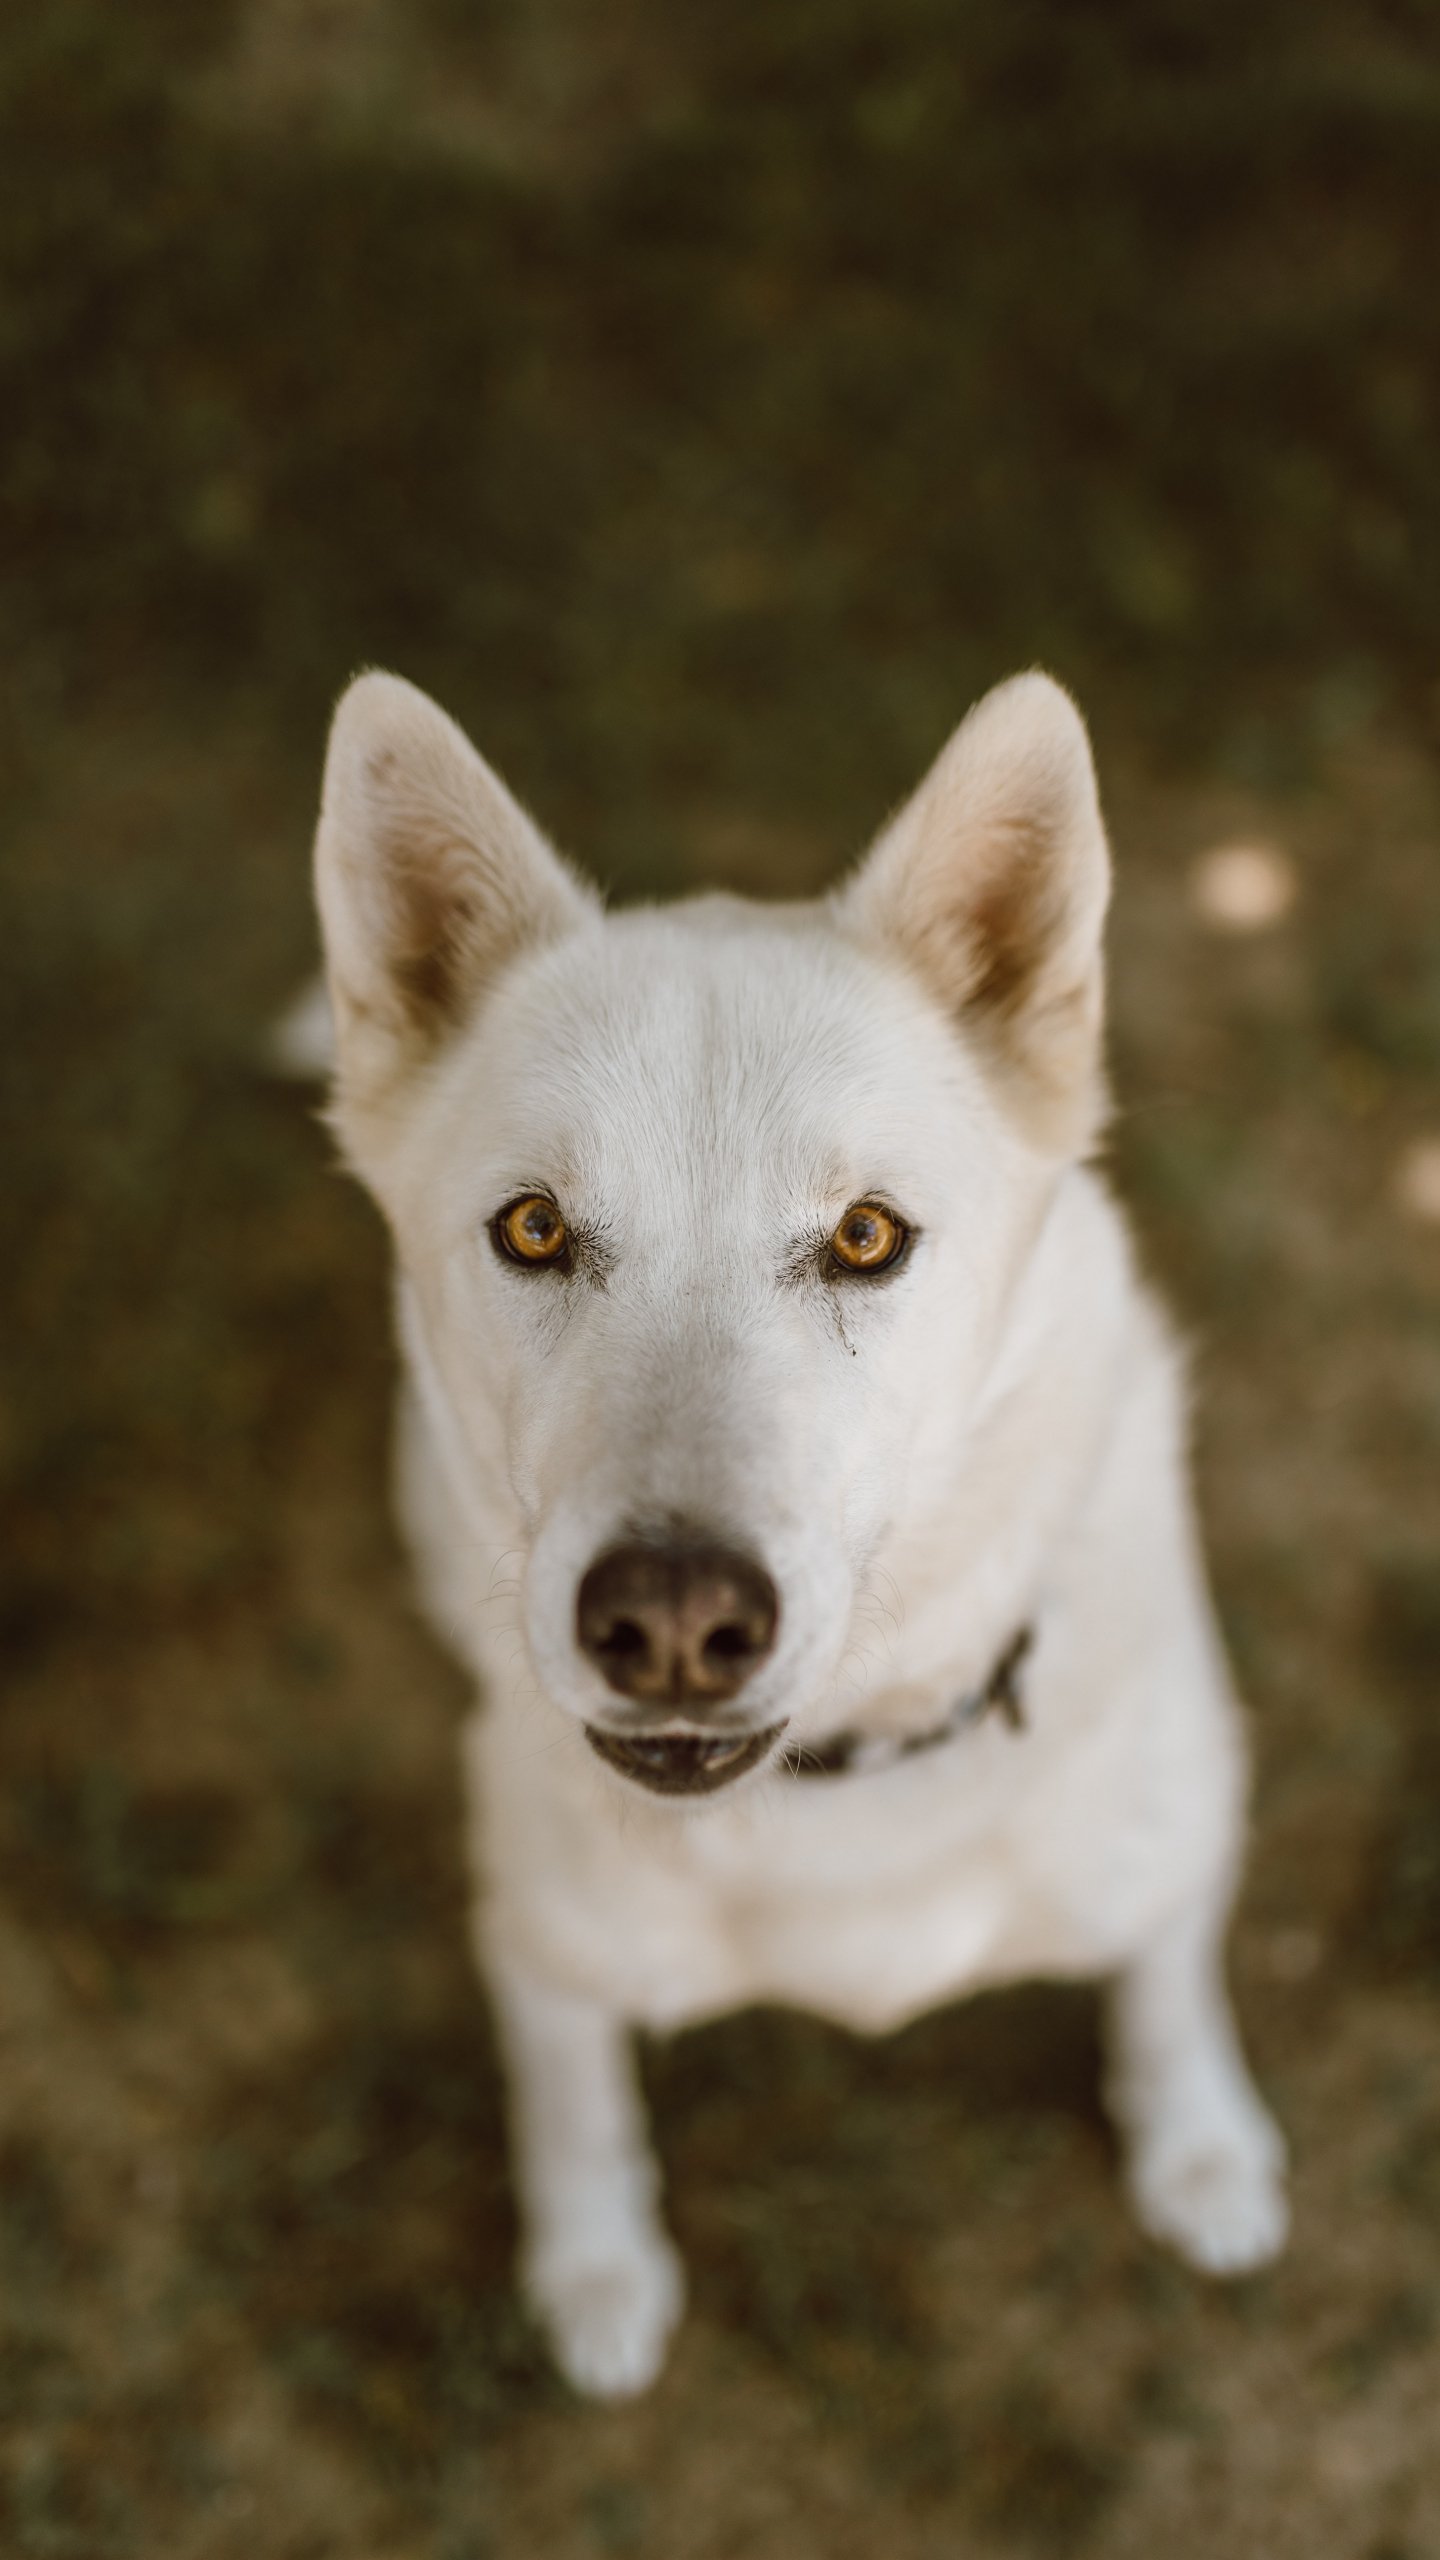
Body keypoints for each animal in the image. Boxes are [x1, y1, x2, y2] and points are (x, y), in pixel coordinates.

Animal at [303, 665, 1287, 2398]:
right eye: (534, 1228)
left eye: (867, 1237)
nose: (674, 1620)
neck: (844, 1795)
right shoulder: (541, 1958)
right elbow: (576, 2111)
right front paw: (595, 2272)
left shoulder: (1179, 1847)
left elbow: (1168, 1990)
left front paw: (1201, 2152)